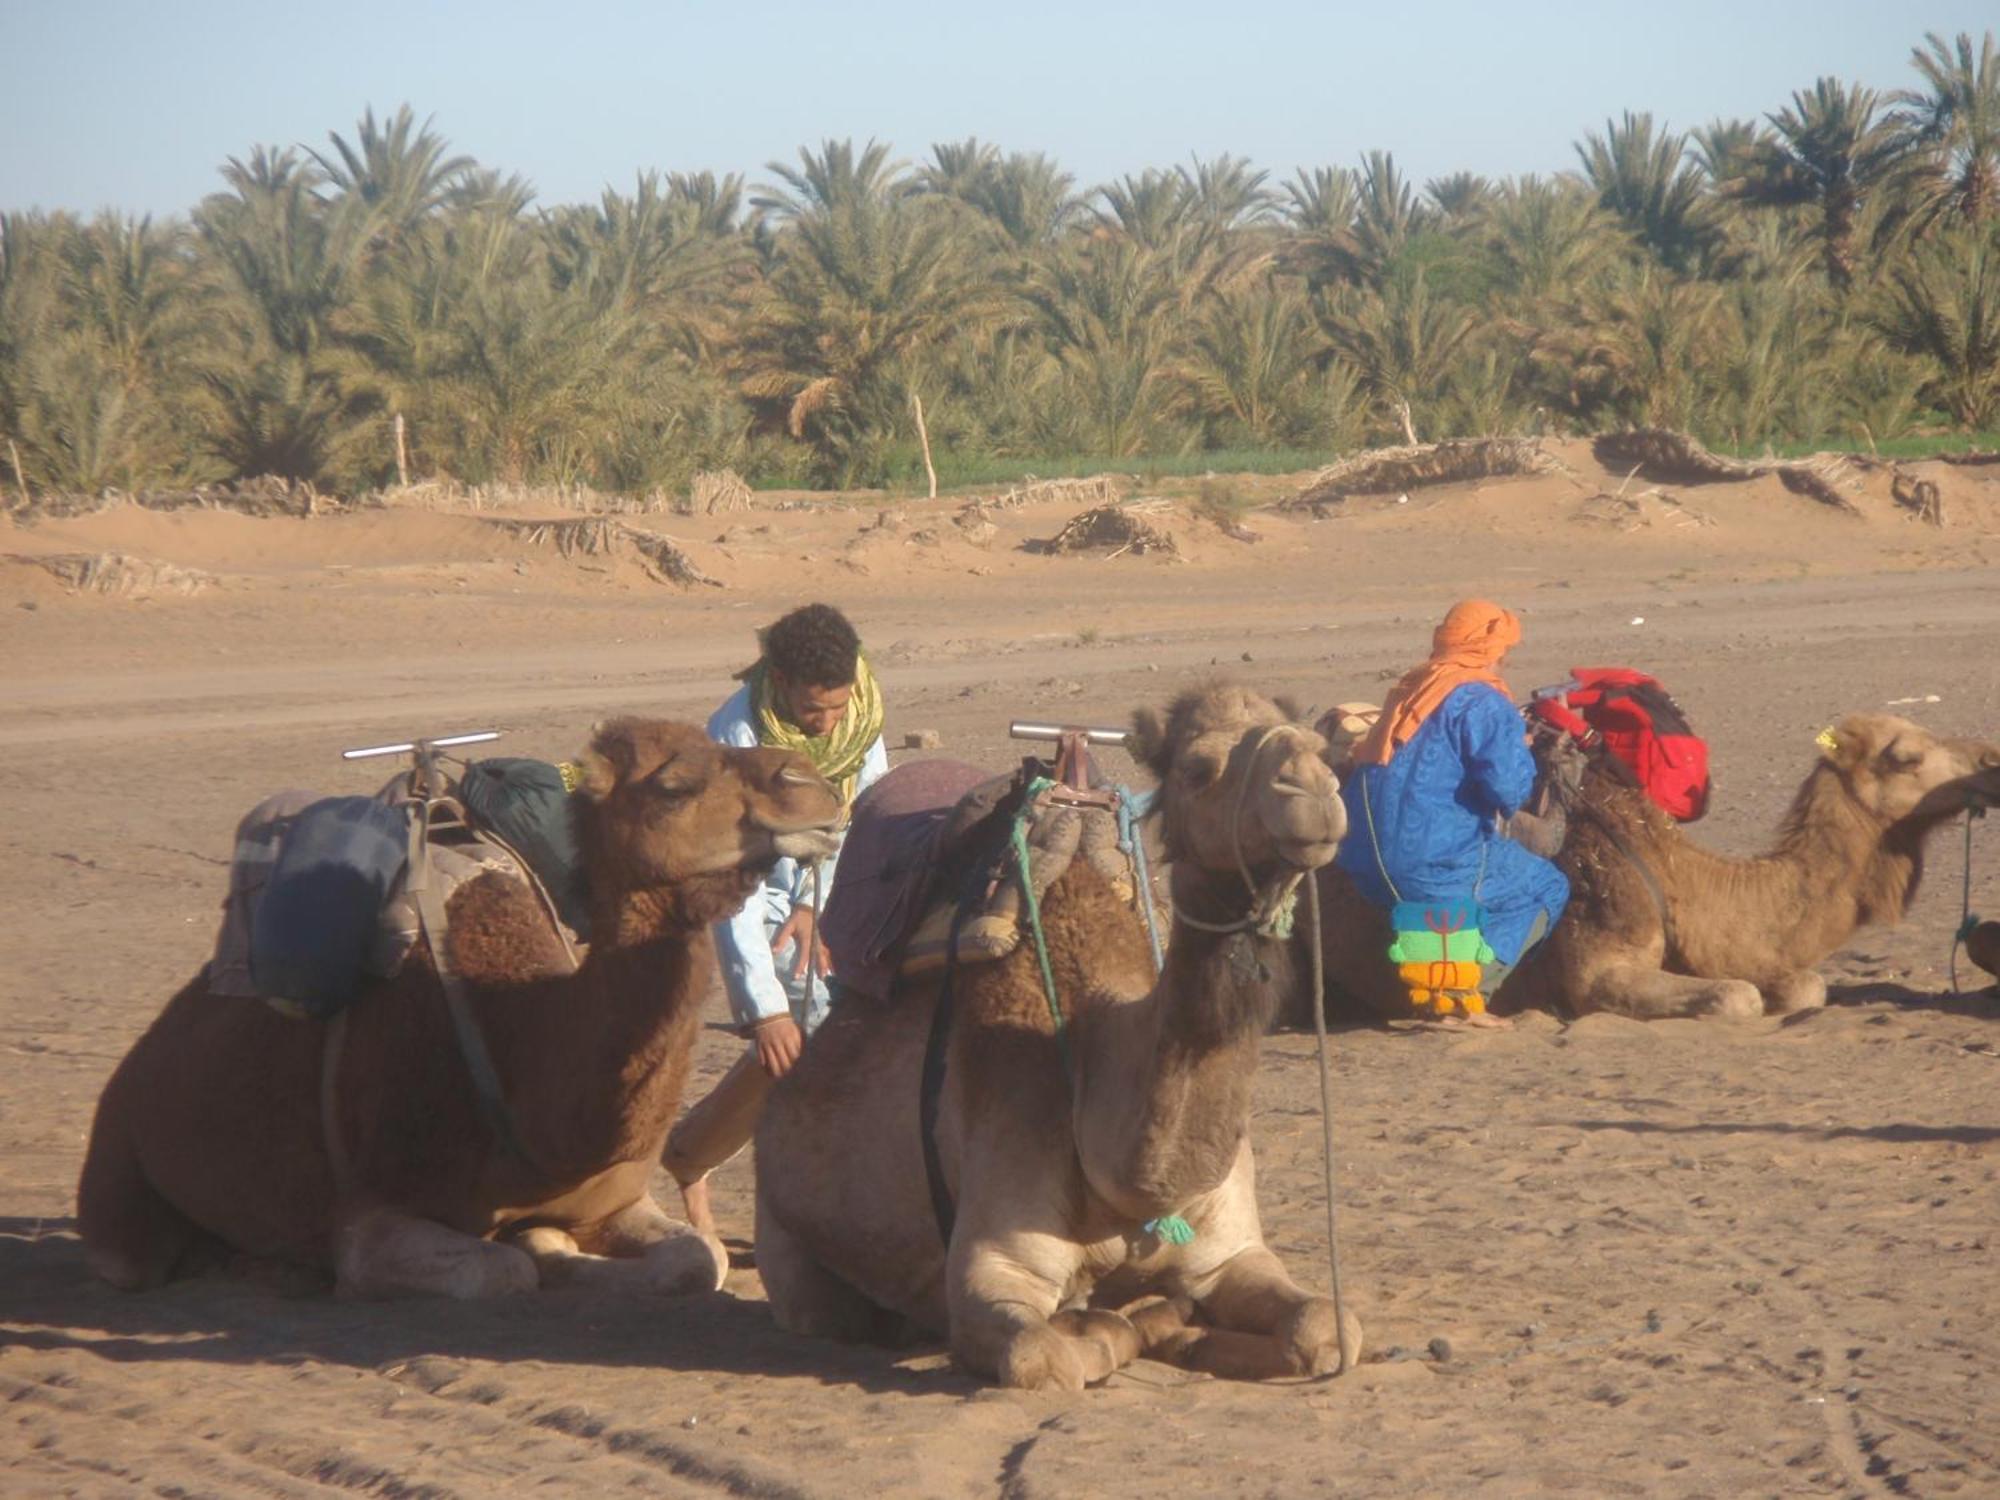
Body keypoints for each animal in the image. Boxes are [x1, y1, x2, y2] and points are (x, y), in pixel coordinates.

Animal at [76, 724, 844, 1296]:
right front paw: (536, 1251)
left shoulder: (617, 1199)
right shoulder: (370, 1217)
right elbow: (499, 1272)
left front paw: (551, 1241)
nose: (813, 785)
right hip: (118, 1169)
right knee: (130, 1255)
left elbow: (697, 1261)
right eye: (674, 784)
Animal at [752, 688, 1360, 1392]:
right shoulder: (995, 1265)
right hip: (790, 1248)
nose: (1313, 788)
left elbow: (1327, 1327)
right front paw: (1113, 1323)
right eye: (1197, 768)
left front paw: (1185, 1327)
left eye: (1322, 749)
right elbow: (1044, 1353)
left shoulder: (1229, 1255)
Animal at [1312, 712, 2000, 1024]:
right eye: (1906, 756)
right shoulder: (1598, 969)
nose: (1991, 759)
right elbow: (1737, 996)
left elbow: (1802, 984)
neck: (1679, 880)